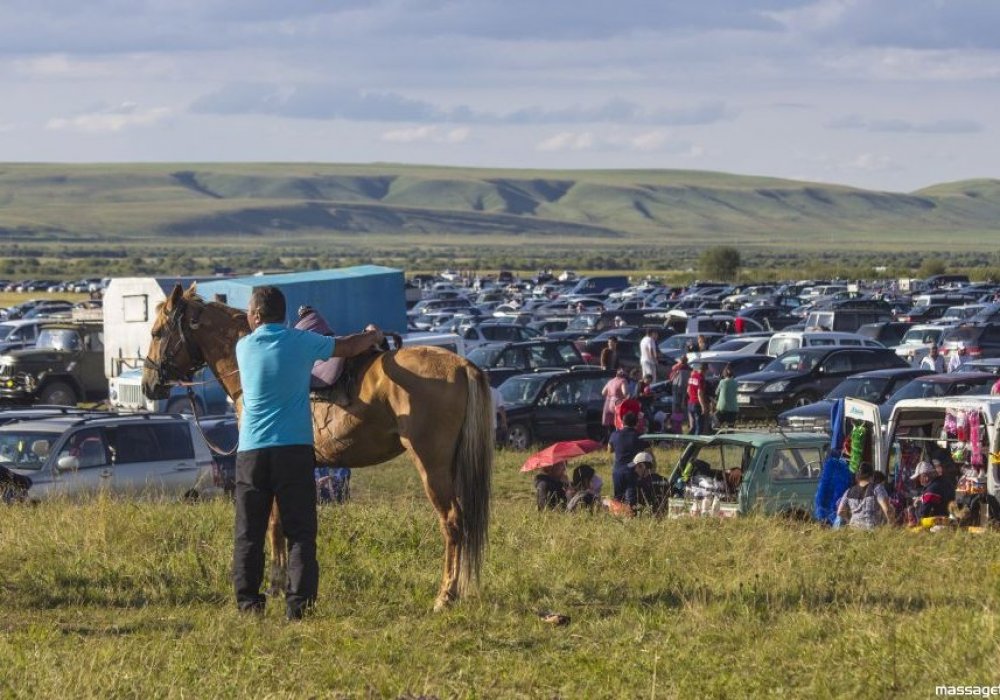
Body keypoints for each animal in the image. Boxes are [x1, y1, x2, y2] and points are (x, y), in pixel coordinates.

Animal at [143, 282, 494, 608]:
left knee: (452, 521)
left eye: (157, 332)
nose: (149, 385)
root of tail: (462, 366)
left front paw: (276, 583)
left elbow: (274, 523)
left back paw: (445, 595)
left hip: (431, 465)